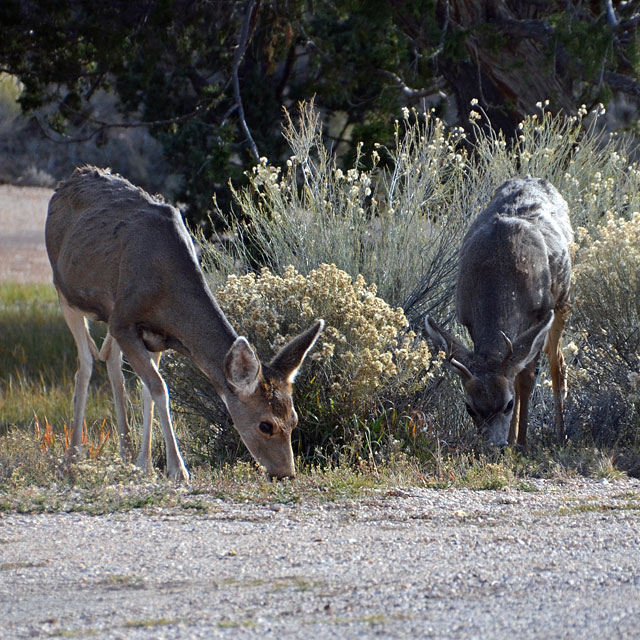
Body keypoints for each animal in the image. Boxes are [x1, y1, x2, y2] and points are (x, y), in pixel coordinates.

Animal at [47, 165, 322, 480]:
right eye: (266, 424)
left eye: (294, 419)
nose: (285, 472)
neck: (167, 288)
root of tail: (68, 181)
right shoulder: (124, 321)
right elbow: (159, 388)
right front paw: (178, 469)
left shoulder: (155, 337)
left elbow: (147, 390)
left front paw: (145, 464)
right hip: (64, 292)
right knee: (86, 363)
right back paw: (73, 456)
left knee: (113, 364)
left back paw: (125, 453)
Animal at [428, 178, 572, 448]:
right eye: (470, 408)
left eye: (508, 404)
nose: (495, 445)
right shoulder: (467, 317)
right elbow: (514, 374)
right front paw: (514, 438)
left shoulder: (539, 314)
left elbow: (525, 379)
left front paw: (522, 443)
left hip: (563, 301)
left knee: (557, 363)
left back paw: (560, 435)